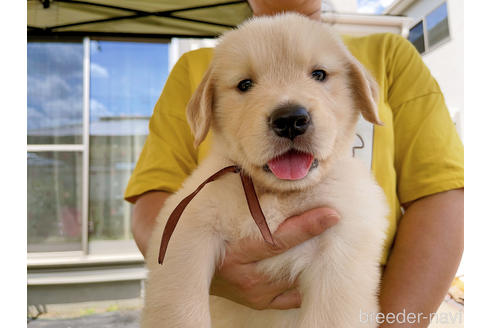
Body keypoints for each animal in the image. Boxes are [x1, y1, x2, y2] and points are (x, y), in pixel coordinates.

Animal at [141, 12, 388, 328]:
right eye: (245, 84)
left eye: (319, 75)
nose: (290, 119)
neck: (275, 193)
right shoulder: (186, 226)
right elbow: (179, 305)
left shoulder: (342, 252)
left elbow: (329, 315)